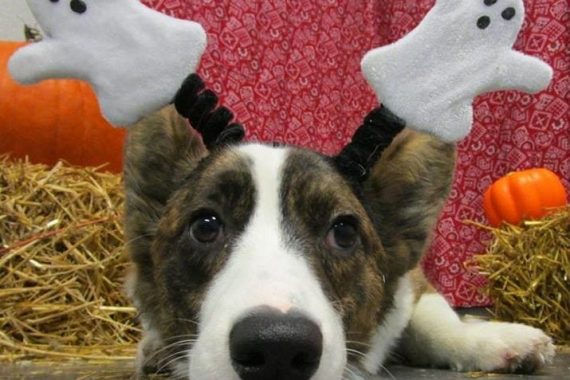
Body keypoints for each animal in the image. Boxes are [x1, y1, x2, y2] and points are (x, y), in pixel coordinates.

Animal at [122, 81, 552, 378]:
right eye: (206, 226)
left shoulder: (413, 282)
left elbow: (439, 322)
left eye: (343, 232)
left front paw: (493, 339)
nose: (277, 349)